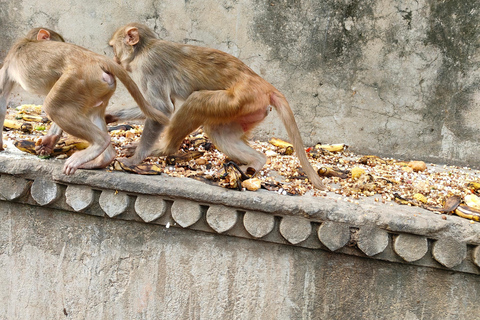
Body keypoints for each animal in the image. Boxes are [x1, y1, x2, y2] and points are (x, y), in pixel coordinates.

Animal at [0, 28, 170, 175]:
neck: (27, 41)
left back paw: (100, 143)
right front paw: (49, 141)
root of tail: (96, 59)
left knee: (54, 107)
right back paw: (104, 158)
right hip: (100, 87)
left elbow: (1, 100)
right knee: (90, 113)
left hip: (78, 80)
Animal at [109, 23, 326, 190]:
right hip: (249, 110)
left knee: (196, 101)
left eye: (113, 47)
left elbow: (161, 109)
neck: (144, 48)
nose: (114, 59)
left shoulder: (149, 66)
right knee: (218, 131)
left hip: (241, 99)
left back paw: (163, 149)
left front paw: (135, 160)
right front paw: (110, 116)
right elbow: (152, 109)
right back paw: (257, 161)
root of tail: (266, 86)